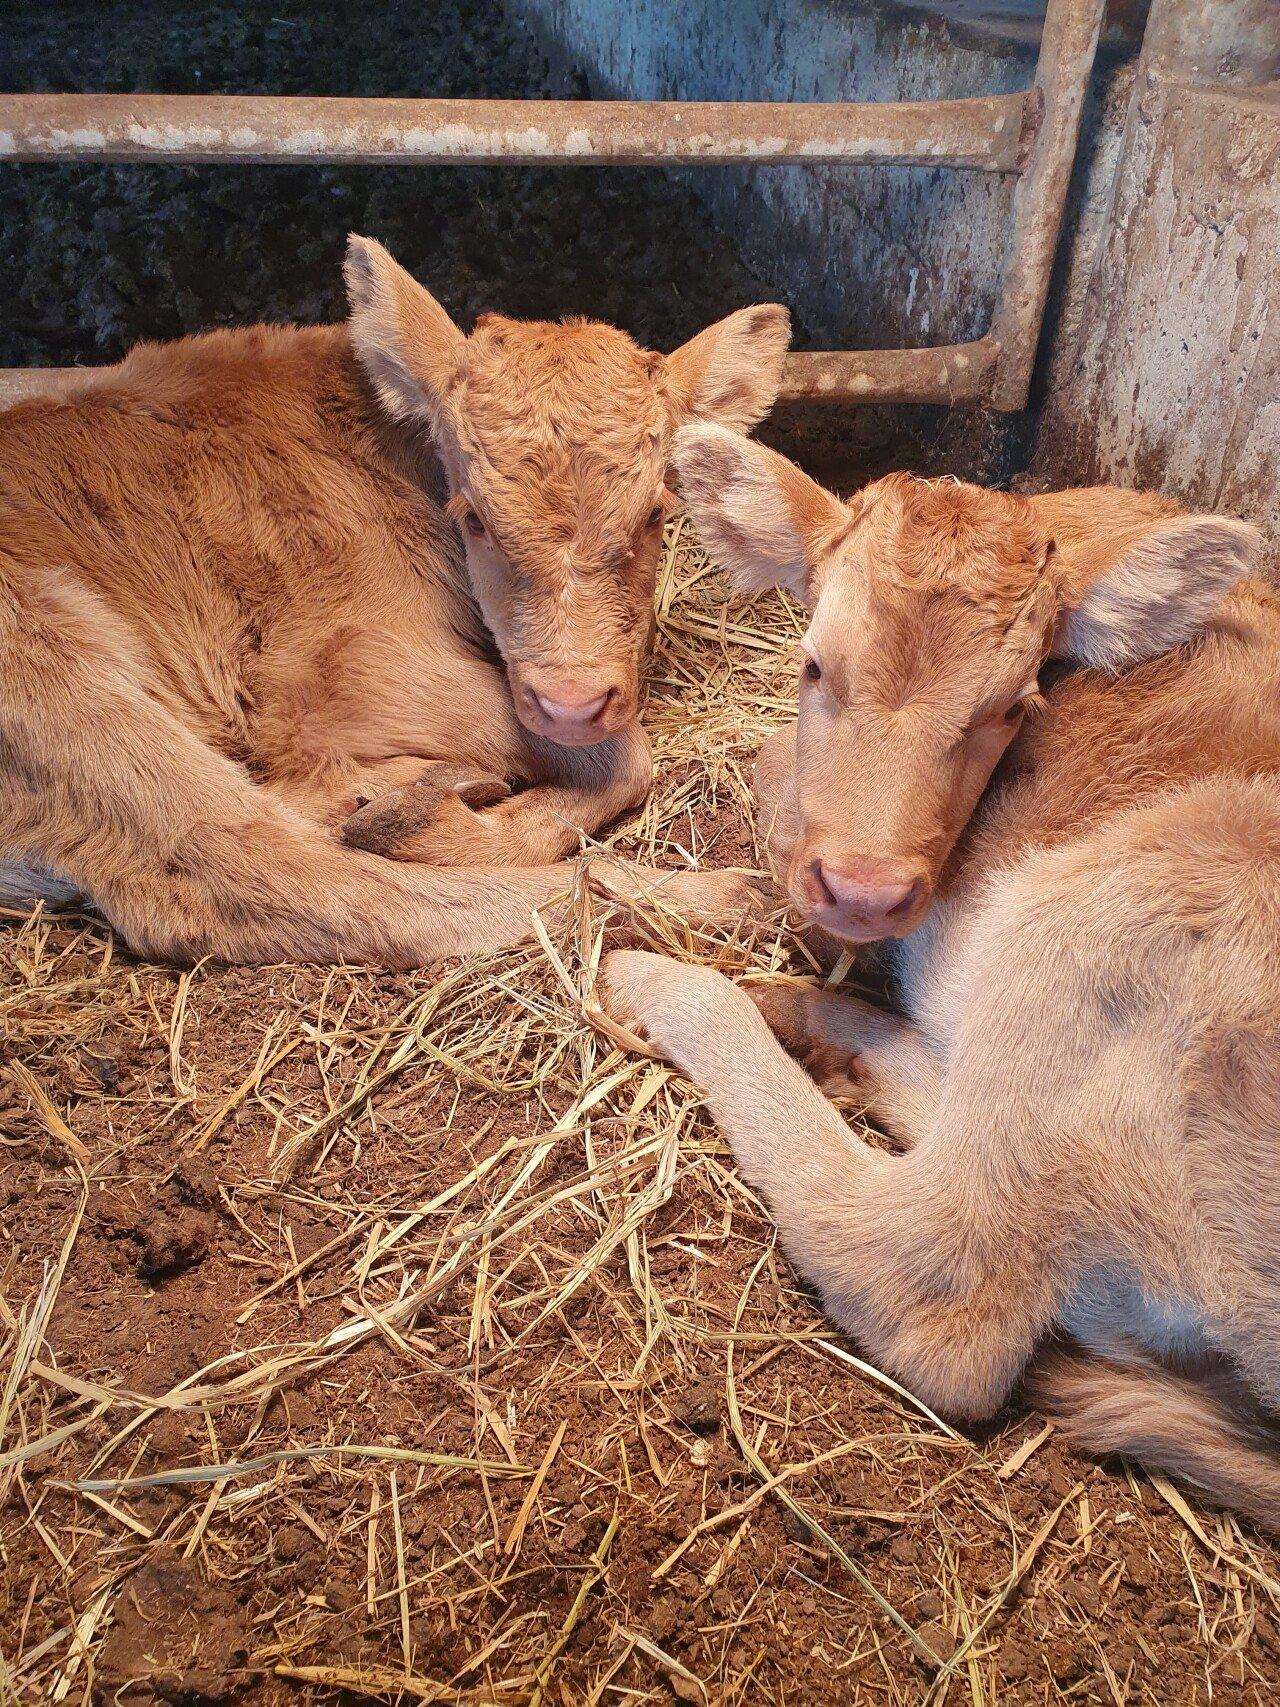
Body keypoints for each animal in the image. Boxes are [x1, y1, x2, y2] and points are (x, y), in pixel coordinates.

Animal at [0, 240, 791, 969]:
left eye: (654, 513)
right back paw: (722, 894)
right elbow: (626, 757)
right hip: (59, 675)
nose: (571, 703)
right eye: (473, 517)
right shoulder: (334, 671)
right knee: (267, 874)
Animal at [604, 430, 1280, 1536]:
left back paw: (674, 987)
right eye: (814, 663)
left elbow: (767, 786)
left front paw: (623, 883)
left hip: (1110, 920)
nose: (867, 890)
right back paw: (826, 1031)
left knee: (923, 1276)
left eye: (1013, 706)